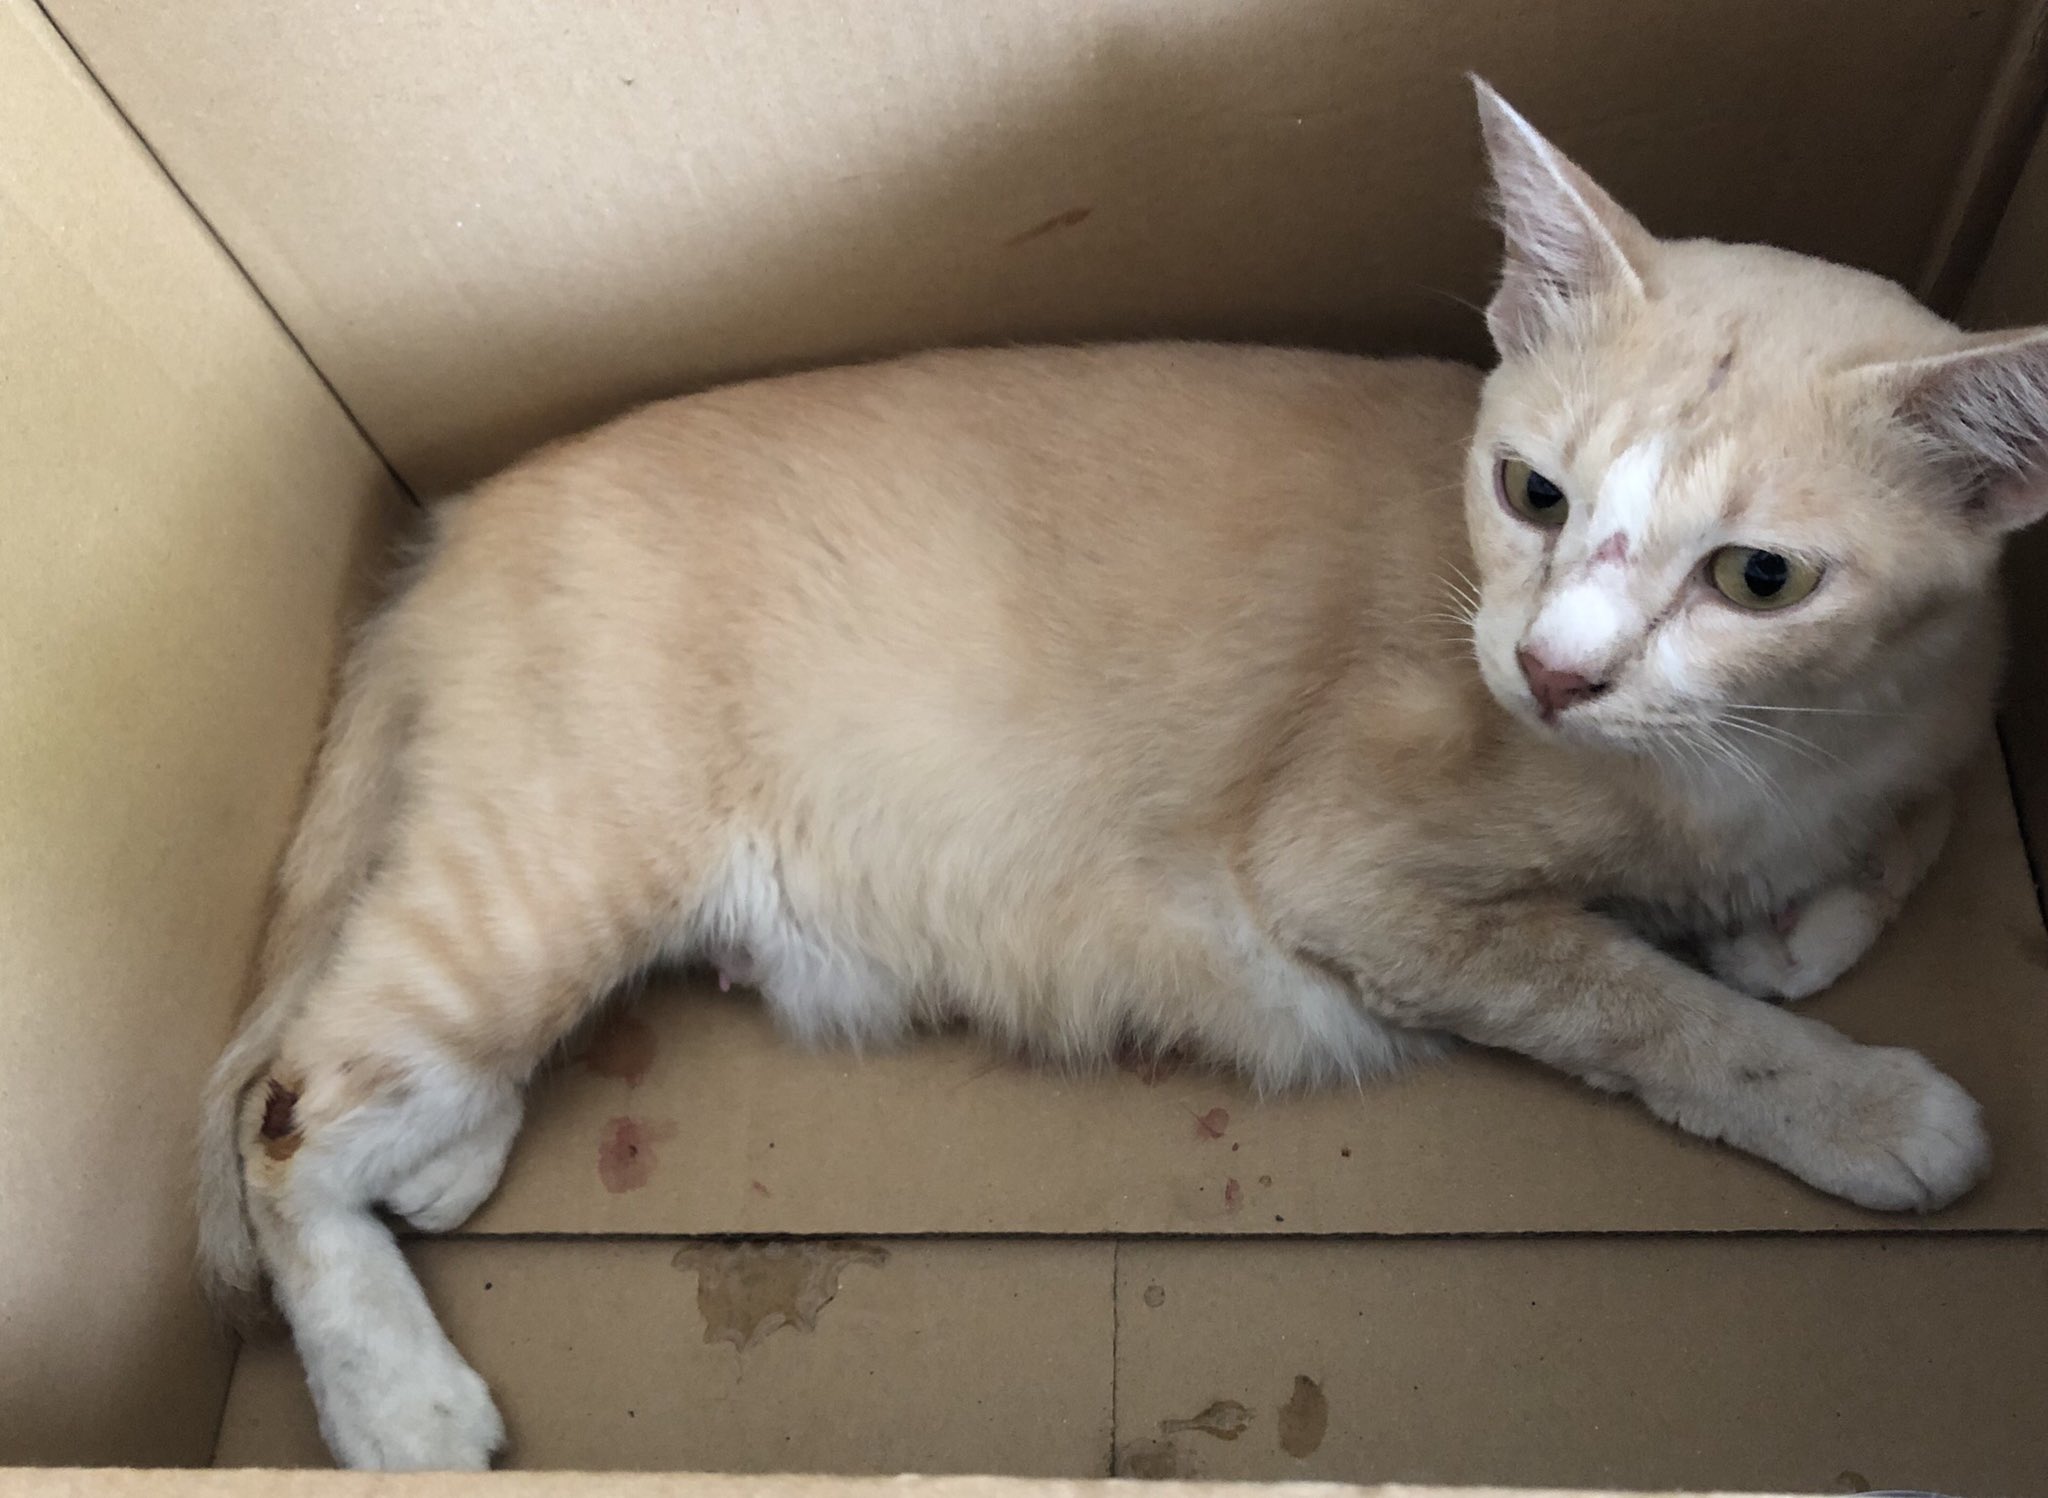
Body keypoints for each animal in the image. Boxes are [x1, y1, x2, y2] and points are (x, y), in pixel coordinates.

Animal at [198, 78, 2048, 1469]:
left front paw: (1795, 918)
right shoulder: (1355, 870)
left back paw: (450, 1148)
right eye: (1530, 490)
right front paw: (1858, 1097)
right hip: (549, 869)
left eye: (1757, 577)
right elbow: (1647, 1008)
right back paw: (397, 1398)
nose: (1549, 670)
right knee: (288, 1105)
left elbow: (1910, 809)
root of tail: (466, 515)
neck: (1767, 750)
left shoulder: (1942, 698)